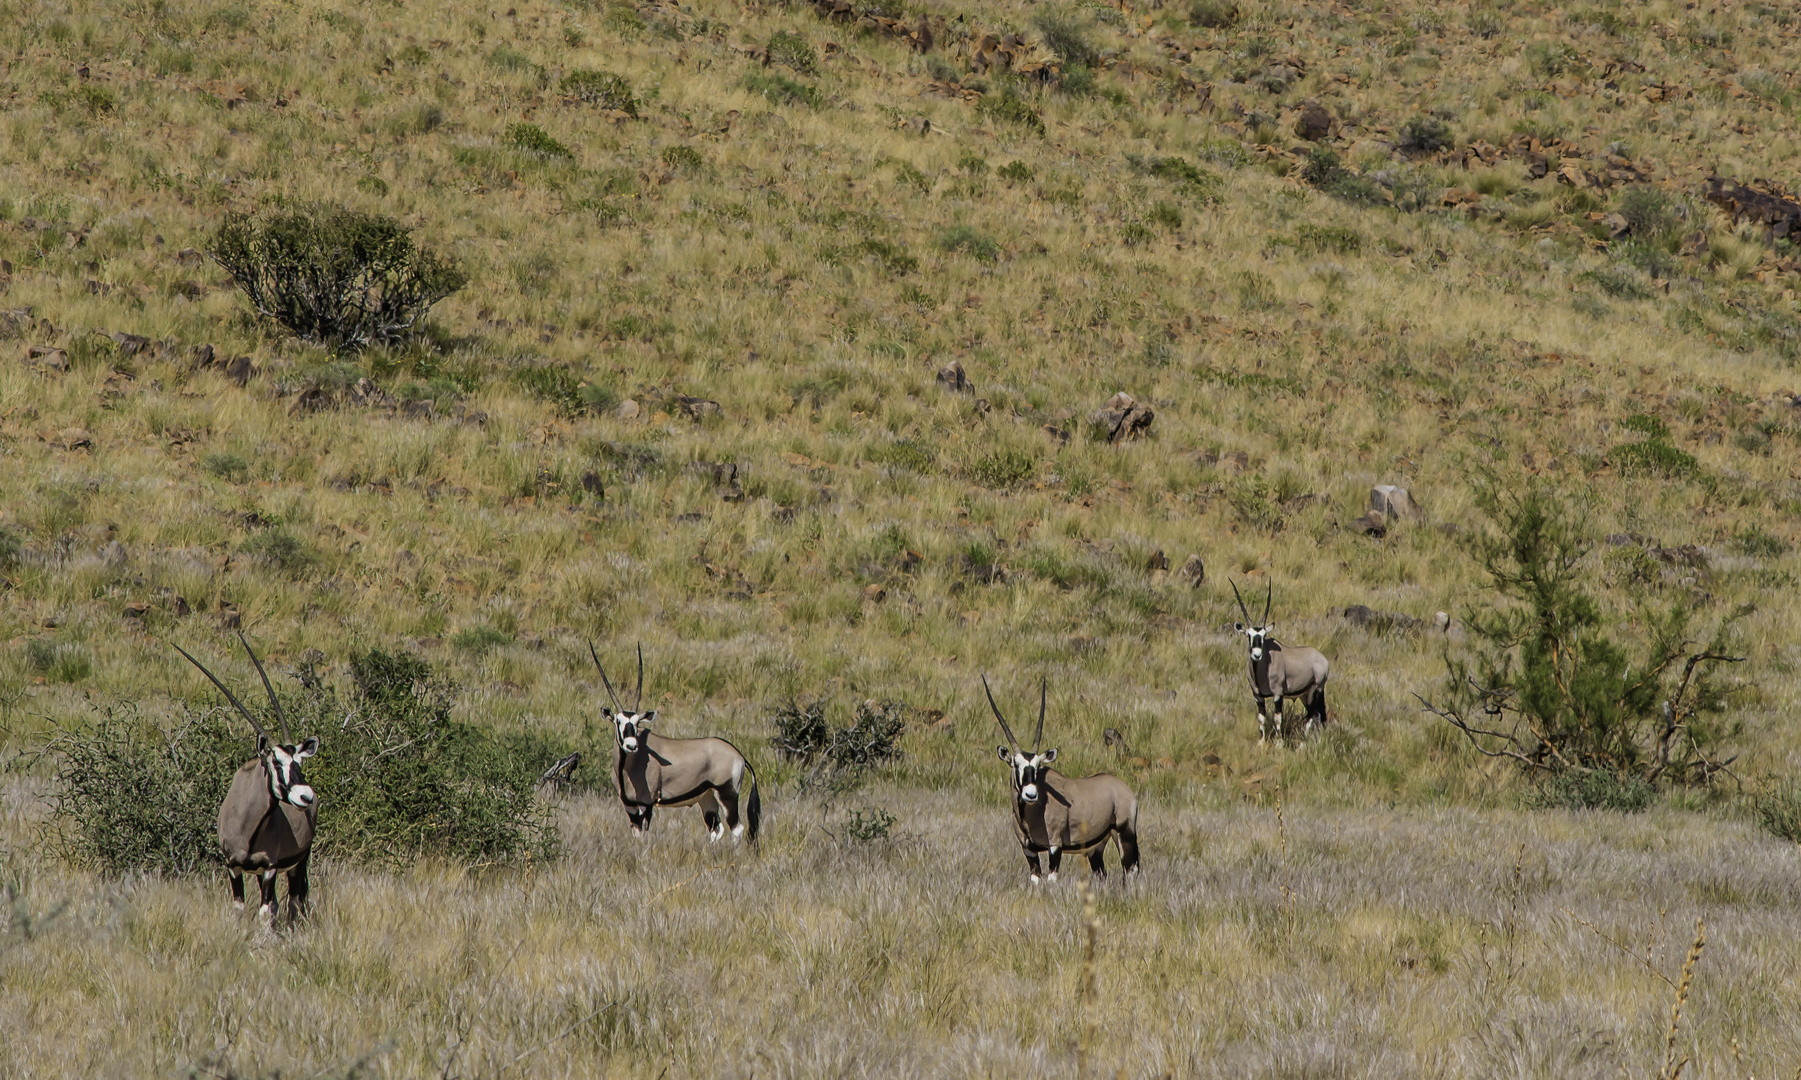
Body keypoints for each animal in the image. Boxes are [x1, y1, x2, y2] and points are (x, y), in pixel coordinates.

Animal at [173, 633, 322, 928]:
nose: (305, 795)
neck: (248, 821)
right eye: (276, 762)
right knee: (282, 903)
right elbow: (240, 909)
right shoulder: (233, 866)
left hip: (298, 862)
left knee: (294, 902)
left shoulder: (270, 867)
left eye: (298, 762)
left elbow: (266, 912)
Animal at [590, 640, 760, 842]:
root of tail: (739, 755)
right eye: (618, 721)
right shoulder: (629, 805)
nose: (632, 745)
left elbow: (644, 835)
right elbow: (636, 835)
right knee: (716, 829)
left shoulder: (646, 803)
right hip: (707, 797)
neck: (627, 766)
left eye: (637, 722)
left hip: (727, 794)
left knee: (737, 828)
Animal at [986, 676, 1138, 885]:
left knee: (1131, 870)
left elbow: (1052, 880)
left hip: (1125, 833)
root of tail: (1125, 789)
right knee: (1101, 872)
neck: (1029, 814)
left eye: (1038, 765)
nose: (1030, 794)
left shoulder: (1055, 846)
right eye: (1016, 764)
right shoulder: (1029, 851)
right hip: (1097, 845)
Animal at [1231, 579, 1332, 745]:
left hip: (1316, 688)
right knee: (1316, 713)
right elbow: (1261, 718)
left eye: (1263, 635)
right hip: (1305, 694)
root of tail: (1322, 659)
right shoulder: (1257, 696)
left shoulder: (1278, 694)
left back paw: (1303, 743)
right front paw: (1261, 742)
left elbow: (1278, 719)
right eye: (1249, 635)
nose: (1257, 655)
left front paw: (1279, 743)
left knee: (1314, 714)